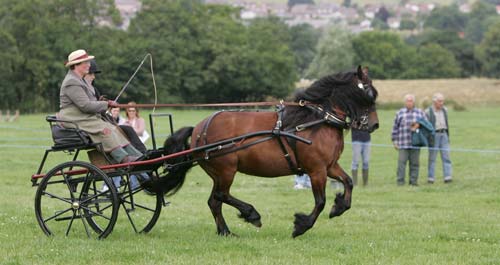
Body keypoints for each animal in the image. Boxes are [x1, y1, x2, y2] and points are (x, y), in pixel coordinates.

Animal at [156, 65, 378, 236]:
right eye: (368, 93)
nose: (374, 125)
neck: (315, 120)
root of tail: (199, 129)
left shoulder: (329, 166)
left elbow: (348, 182)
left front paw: (339, 207)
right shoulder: (316, 170)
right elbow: (320, 201)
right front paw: (301, 226)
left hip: (217, 173)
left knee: (214, 201)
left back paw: (225, 231)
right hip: (226, 170)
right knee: (221, 196)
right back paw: (251, 214)